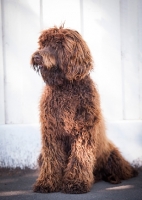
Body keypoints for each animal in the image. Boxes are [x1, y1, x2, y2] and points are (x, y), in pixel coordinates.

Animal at [30, 25, 138, 194]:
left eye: (57, 44)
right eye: (43, 44)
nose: (36, 56)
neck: (66, 87)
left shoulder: (83, 131)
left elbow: (80, 157)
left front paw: (76, 183)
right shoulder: (52, 132)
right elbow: (52, 159)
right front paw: (47, 183)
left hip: (112, 155)